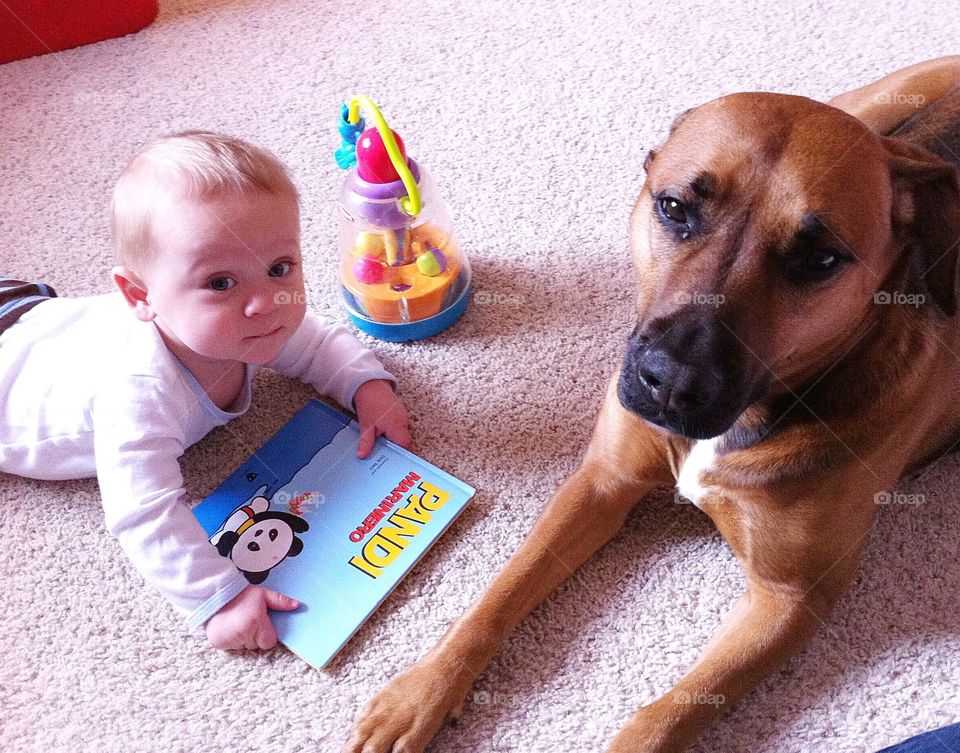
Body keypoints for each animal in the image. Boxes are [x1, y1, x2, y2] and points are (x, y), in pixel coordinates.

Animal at [344, 58, 960, 752]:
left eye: (819, 259)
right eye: (673, 207)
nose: (669, 381)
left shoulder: (790, 598)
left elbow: (668, 715)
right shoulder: (601, 481)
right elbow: (500, 591)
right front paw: (422, 691)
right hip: (877, 106)